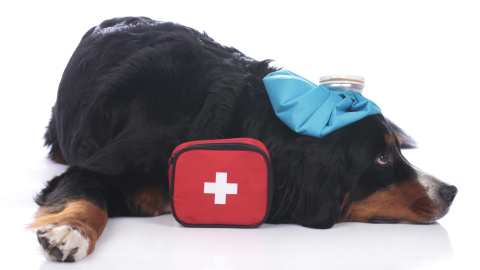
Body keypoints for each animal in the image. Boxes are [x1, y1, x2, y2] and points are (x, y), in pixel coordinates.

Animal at [30, 16, 458, 262]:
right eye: (381, 159)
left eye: (395, 151)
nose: (451, 191)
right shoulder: (94, 169)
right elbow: (89, 199)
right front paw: (70, 232)